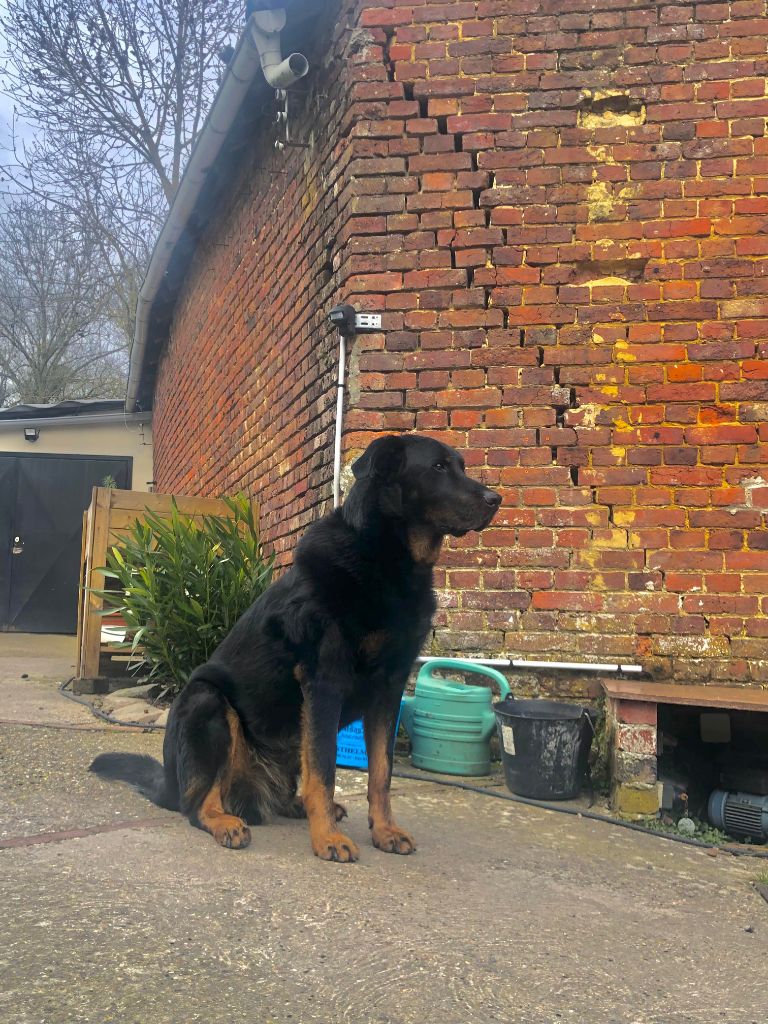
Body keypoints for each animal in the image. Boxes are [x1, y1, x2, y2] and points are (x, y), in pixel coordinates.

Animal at [90, 434, 501, 862]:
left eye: (461, 465)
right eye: (438, 467)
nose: (496, 499)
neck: (387, 559)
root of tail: (168, 783)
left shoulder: (389, 688)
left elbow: (381, 773)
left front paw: (385, 830)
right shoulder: (324, 681)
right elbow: (325, 771)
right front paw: (328, 839)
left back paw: (296, 806)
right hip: (206, 701)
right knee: (198, 802)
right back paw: (225, 821)